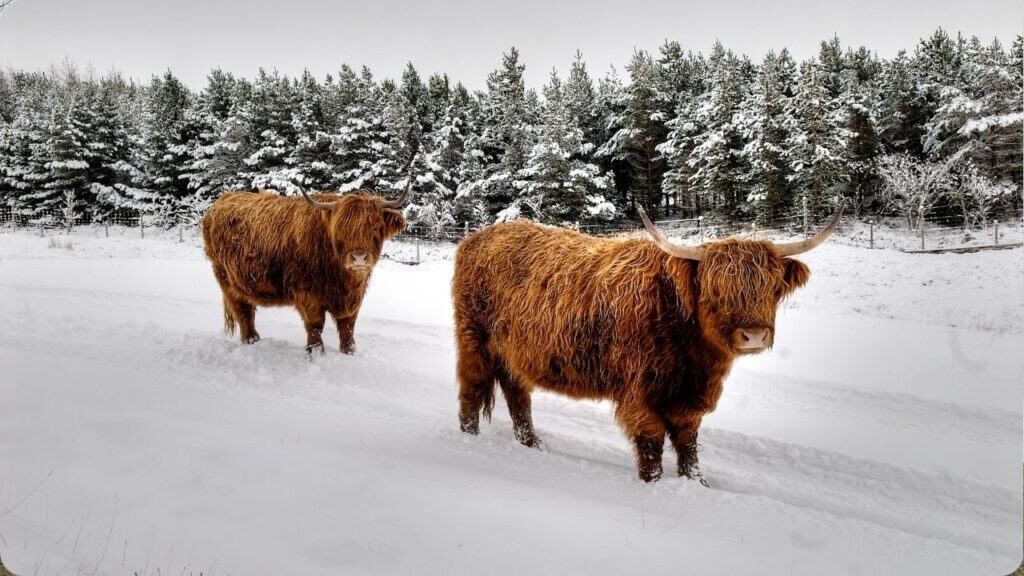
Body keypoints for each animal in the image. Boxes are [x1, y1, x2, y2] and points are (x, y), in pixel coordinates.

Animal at [201, 177, 413, 355]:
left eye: (376, 228)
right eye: (340, 230)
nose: (359, 258)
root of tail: (222, 200)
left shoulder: (353, 298)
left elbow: (348, 325)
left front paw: (349, 351)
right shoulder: (307, 293)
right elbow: (315, 324)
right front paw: (316, 352)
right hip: (227, 281)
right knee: (243, 312)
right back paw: (251, 341)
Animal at [451, 202, 843, 483]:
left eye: (771, 287)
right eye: (715, 289)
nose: (754, 334)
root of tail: (476, 239)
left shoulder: (688, 400)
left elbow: (687, 444)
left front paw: (696, 483)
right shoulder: (640, 395)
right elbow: (652, 445)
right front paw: (653, 484)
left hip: (512, 353)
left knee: (518, 396)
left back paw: (533, 445)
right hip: (474, 341)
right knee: (472, 389)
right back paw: (469, 440)